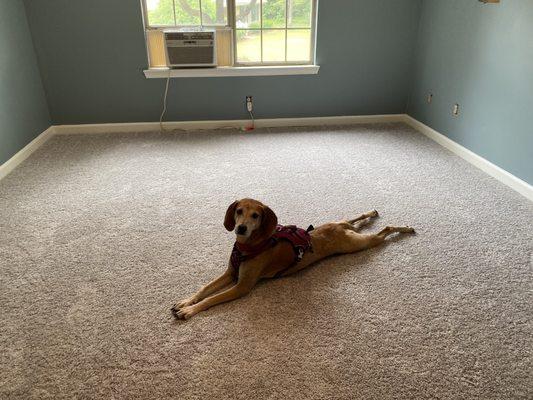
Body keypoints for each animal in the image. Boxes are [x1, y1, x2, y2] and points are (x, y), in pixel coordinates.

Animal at [172, 198, 414, 320]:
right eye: (239, 211)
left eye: (255, 216)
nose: (240, 228)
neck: (248, 245)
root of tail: (342, 229)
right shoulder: (231, 273)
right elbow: (204, 289)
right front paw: (186, 301)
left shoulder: (242, 287)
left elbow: (211, 299)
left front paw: (189, 310)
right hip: (345, 225)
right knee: (359, 218)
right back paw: (370, 213)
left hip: (359, 243)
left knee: (385, 230)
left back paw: (404, 228)